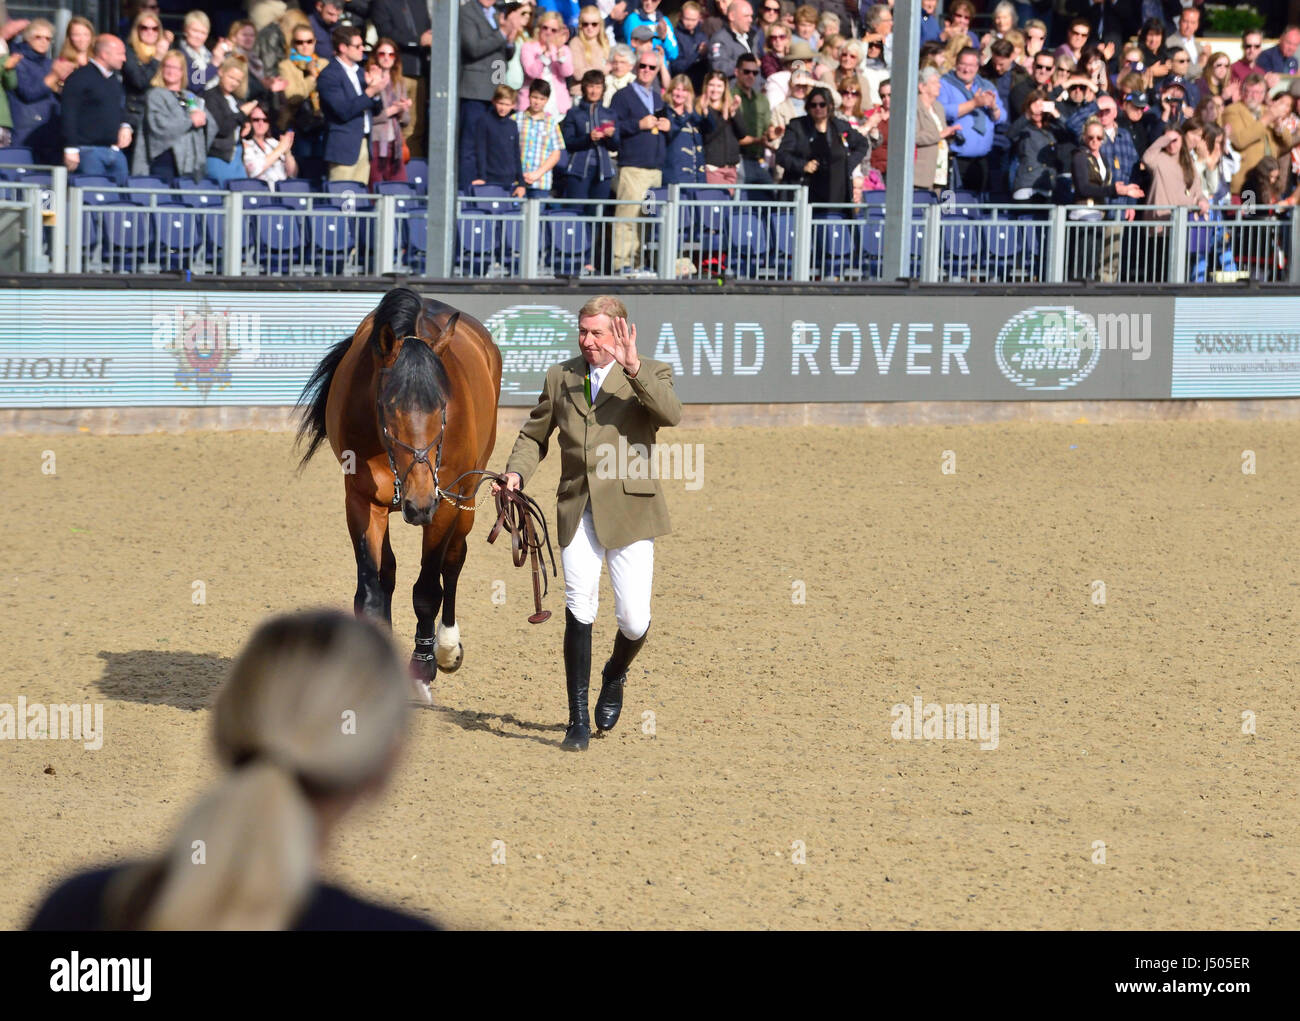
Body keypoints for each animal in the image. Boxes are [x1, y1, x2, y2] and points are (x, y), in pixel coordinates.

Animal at [297, 286, 499, 702]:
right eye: (390, 406)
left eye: (442, 405)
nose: (418, 504)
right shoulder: (361, 500)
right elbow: (371, 592)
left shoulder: (443, 504)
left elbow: (427, 590)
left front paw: (424, 667)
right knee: (389, 572)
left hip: (466, 498)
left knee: (454, 561)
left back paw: (447, 647)